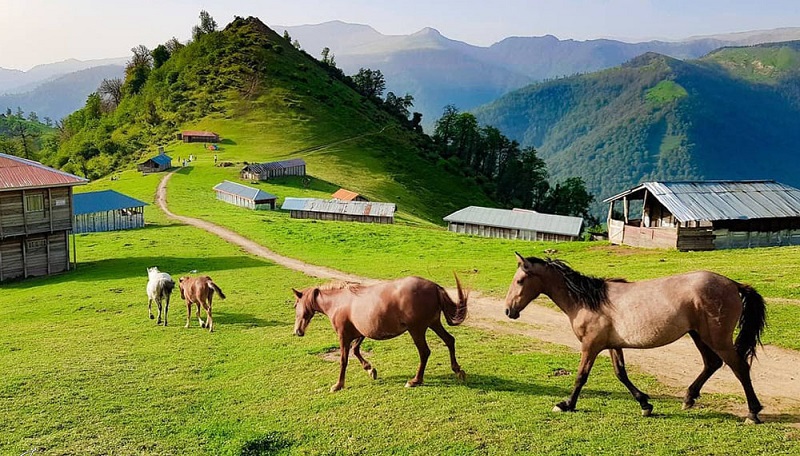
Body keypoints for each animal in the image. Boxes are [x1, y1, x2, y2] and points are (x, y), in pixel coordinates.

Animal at [292, 274, 468, 392]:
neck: (338, 302)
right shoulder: (360, 333)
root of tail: (434, 287)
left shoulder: (344, 336)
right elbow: (356, 350)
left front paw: (338, 385)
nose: (297, 331)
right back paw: (458, 370)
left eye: (295, 305)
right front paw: (370, 369)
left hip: (417, 329)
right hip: (434, 323)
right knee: (449, 340)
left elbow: (343, 360)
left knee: (425, 352)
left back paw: (415, 380)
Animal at [504, 253, 764, 424]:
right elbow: (621, 374)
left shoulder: (591, 346)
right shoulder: (611, 345)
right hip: (698, 335)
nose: (508, 311)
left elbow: (581, 377)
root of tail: (733, 284)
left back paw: (753, 413)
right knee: (712, 363)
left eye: (520, 281)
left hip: (717, 338)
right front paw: (645, 404)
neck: (587, 301)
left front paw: (566, 405)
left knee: (739, 367)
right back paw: (689, 398)